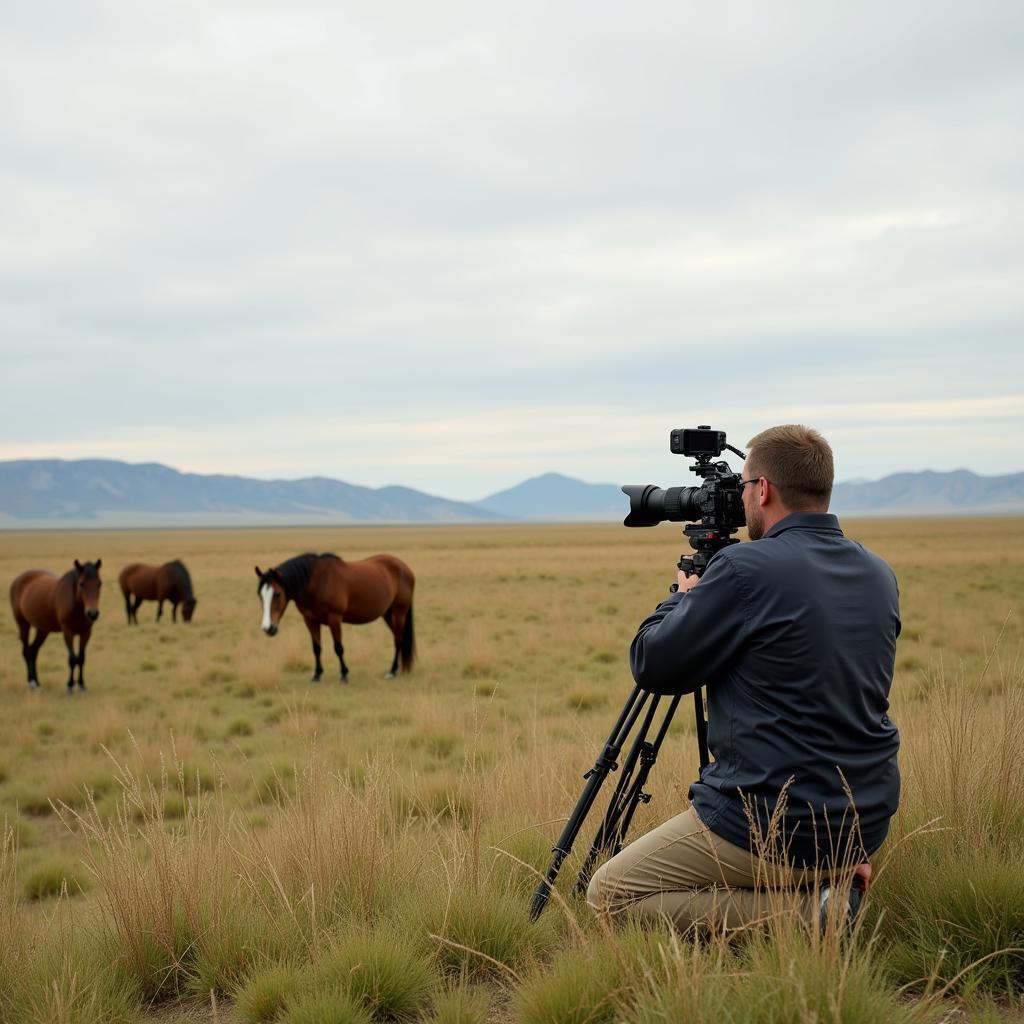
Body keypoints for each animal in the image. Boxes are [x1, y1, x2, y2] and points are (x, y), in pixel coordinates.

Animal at [9, 561, 102, 696]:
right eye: (81, 583)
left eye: (99, 583)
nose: (93, 613)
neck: (76, 606)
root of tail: (17, 580)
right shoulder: (68, 633)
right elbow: (72, 659)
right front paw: (70, 686)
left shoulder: (86, 633)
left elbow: (81, 658)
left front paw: (82, 685)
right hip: (23, 624)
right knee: (26, 651)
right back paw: (31, 682)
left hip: (42, 629)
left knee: (33, 651)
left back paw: (37, 682)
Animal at [253, 548, 413, 684]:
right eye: (260, 595)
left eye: (277, 594)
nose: (268, 628)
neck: (317, 583)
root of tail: (404, 567)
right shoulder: (310, 620)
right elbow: (316, 648)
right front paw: (317, 675)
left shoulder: (334, 619)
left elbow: (338, 647)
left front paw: (344, 674)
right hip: (388, 613)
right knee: (398, 637)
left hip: (399, 611)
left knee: (398, 639)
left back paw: (392, 671)